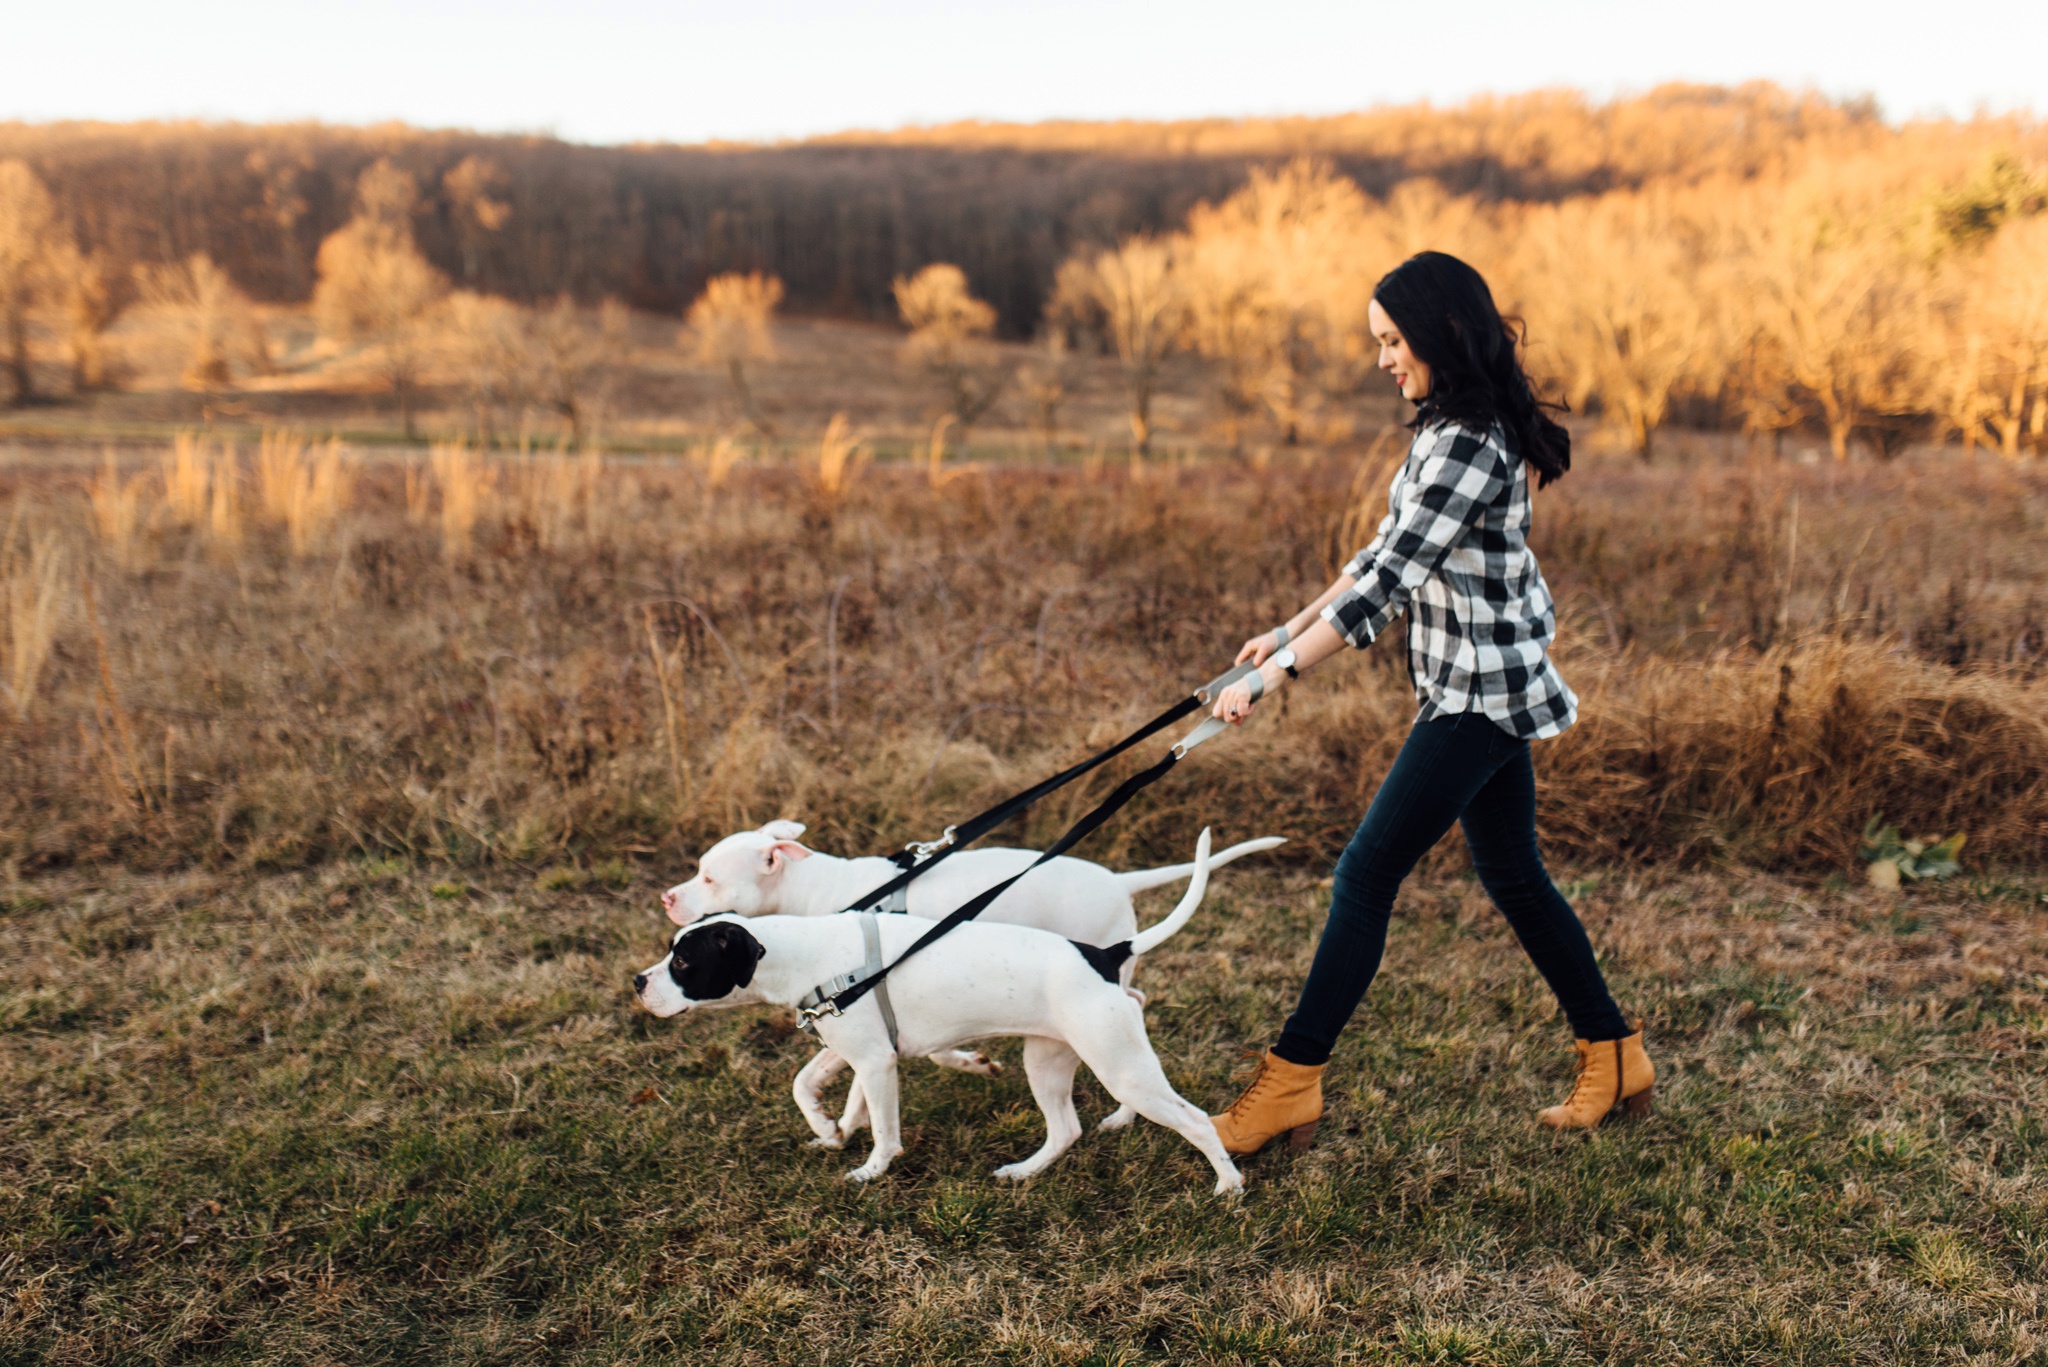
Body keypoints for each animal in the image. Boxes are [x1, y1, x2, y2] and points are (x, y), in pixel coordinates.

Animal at [630, 827, 1236, 1188]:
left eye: (683, 962)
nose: (637, 982)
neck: (806, 942)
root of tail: (1103, 956)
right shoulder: (858, 1050)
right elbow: (815, 1088)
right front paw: (831, 1130)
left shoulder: (876, 1060)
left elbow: (884, 1127)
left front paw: (869, 1169)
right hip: (1049, 1059)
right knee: (1066, 1128)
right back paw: (1023, 1170)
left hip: (1119, 1064)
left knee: (1194, 1119)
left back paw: (1228, 1185)